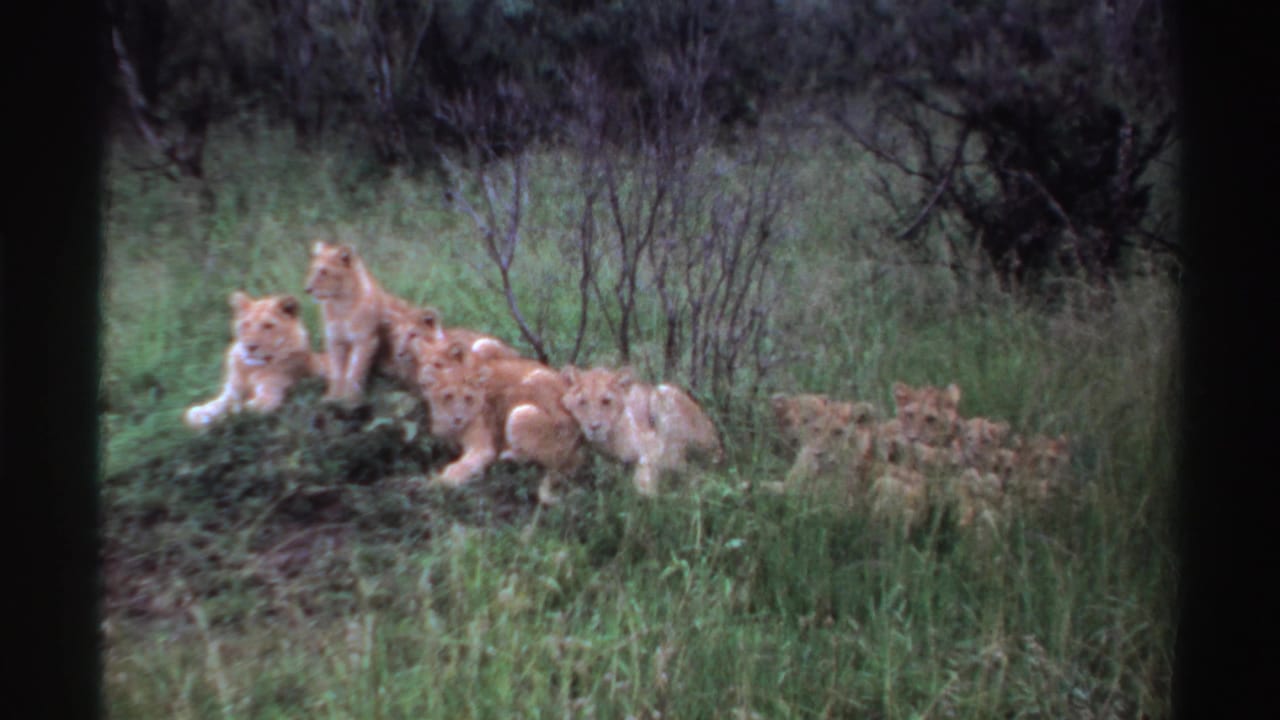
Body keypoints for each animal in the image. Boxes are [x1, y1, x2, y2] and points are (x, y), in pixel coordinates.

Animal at [184, 291, 326, 428]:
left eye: (268, 326)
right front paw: (198, 414)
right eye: (246, 324)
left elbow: (239, 410)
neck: (250, 369)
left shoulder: (268, 398)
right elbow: (219, 404)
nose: (250, 346)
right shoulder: (231, 392)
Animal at [418, 343, 583, 504]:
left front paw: (439, 481)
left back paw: (507, 456)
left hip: (521, 413)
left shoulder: (483, 447)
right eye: (448, 396)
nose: (458, 418)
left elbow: (464, 465)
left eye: (468, 398)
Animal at [562, 366, 723, 496]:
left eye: (606, 401)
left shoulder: (652, 442)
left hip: (664, 393)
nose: (594, 426)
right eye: (582, 402)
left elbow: (648, 464)